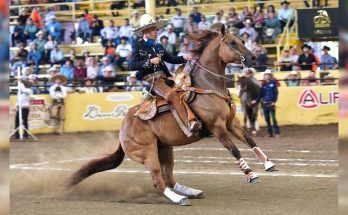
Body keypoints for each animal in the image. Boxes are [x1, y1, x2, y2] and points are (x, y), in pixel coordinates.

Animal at [66, 25, 276, 207]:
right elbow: (235, 150)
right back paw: (179, 199)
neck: (208, 87)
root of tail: (123, 127)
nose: (253, 58)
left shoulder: (232, 123)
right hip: (147, 152)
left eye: (242, 40)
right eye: (232, 42)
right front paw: (250, 174)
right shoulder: (218, 128)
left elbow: (250, 140)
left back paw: (191, 192)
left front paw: (268, 164)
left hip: (165, 148)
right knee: (158, 180)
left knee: (169, 179)